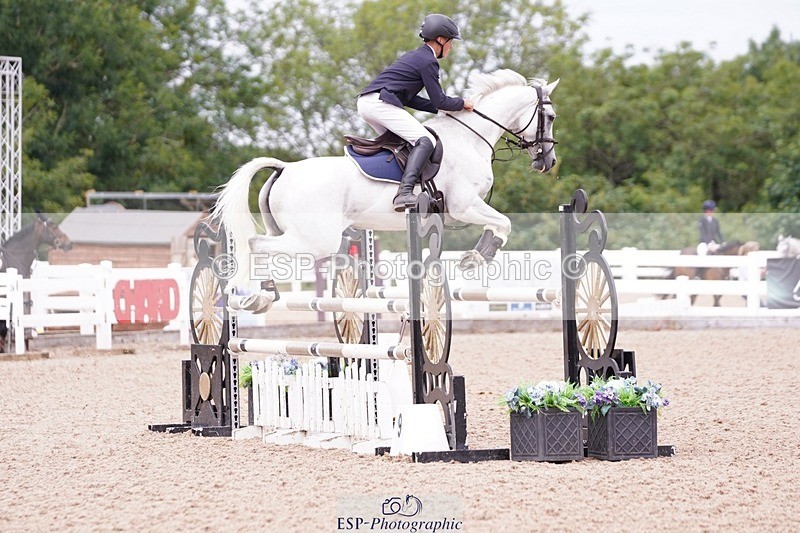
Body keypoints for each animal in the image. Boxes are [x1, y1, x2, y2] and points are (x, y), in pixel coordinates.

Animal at [212, 70, 559, 290]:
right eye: (551, 117)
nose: (548, 161)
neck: (469, 138)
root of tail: (285, 168)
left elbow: (499, 224)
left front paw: (475, 257)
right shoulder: (464, 205)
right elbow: (504, 223)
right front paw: (476, 258)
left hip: (290, 232)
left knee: (265, 247)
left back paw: (262, 292)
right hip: (317, 239)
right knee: (255, 243)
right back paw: (255, 296)